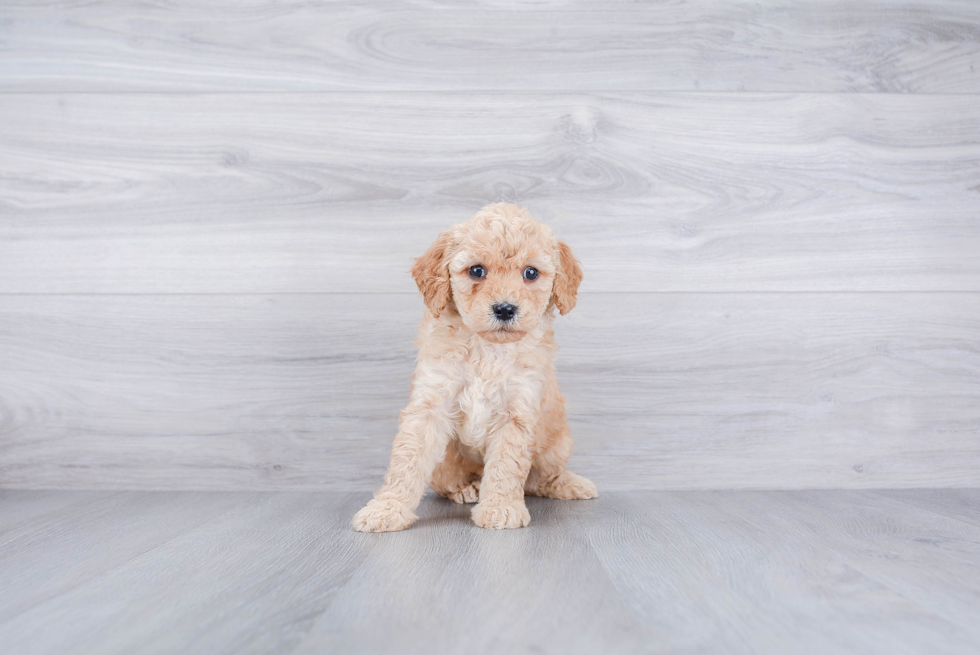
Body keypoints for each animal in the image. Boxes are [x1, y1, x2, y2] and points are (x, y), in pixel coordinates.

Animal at [352, 201, 596, 532]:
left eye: (531, 273)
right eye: (476, 270)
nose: (505, 309)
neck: (487, 348)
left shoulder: (517, 412)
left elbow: (507, 464)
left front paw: (500, 507)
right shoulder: (430, 404)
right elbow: (407, 461)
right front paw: (387, 509)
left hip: (558, 445)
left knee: (538, 481)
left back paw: (569, 483)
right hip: (445, 465)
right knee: (448, 482)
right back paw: (466, 488)